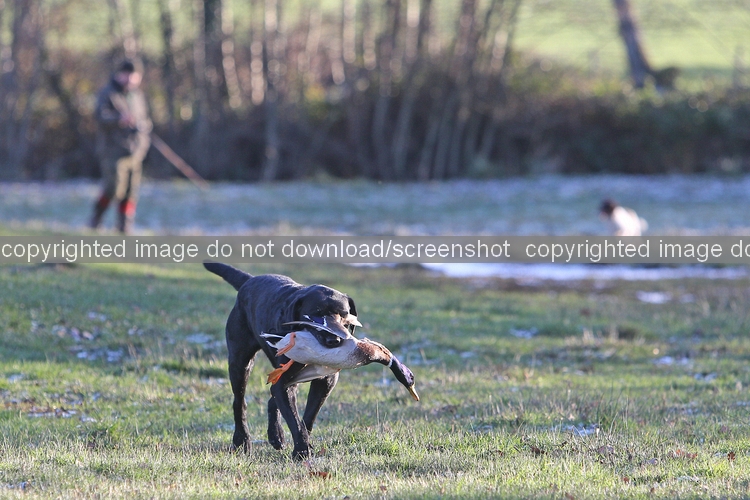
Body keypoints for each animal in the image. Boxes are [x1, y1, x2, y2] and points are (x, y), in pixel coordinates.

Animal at [204, 262, 363, 460]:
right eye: (316, 314)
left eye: (344, 315)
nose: (335, 340)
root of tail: (249, 280)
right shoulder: (284, 381)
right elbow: (294, 420)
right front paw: (302, 451)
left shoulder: (325, 381)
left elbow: (307, 417)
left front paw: (303, 445)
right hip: (240, 363)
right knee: (239, 402)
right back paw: (242, 440)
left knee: (272, 400)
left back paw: (275, 435)